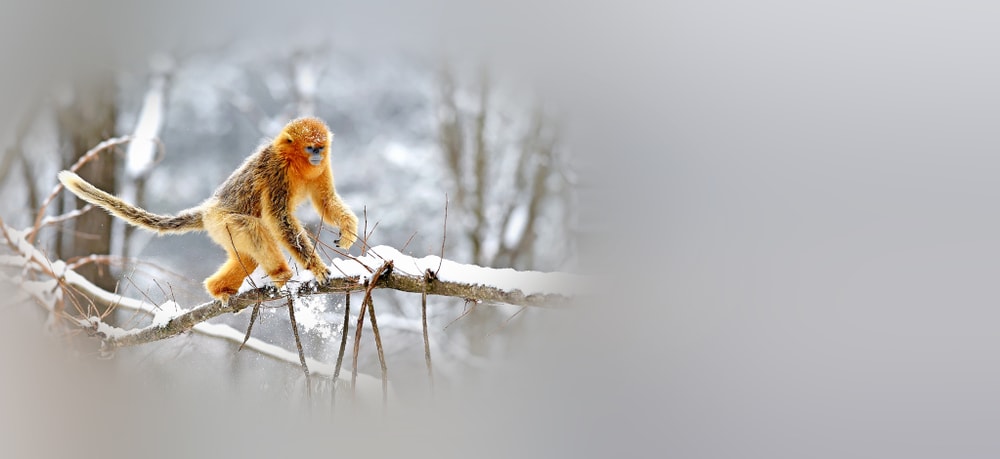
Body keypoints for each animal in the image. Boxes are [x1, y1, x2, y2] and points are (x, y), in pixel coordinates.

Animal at [58, 116, 359, 302]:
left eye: (320, 147)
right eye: (310, 147)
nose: (318, 155)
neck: (295, 164)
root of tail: (207, 209)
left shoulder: (322, 169)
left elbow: (325, 200)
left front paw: (348, 229)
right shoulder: (277, 171)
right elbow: (279, 218)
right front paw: (316, 267)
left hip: (221, 228)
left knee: (247, 256)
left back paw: (219, 289)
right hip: (221, 220)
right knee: (253, 226)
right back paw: (281, 275)